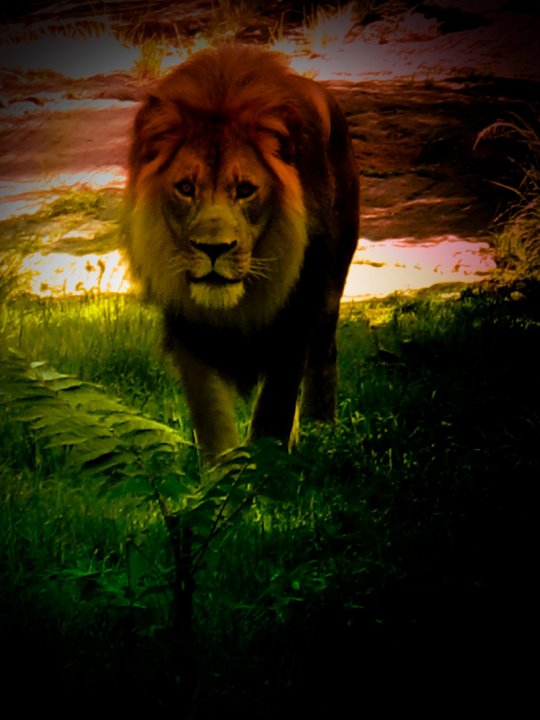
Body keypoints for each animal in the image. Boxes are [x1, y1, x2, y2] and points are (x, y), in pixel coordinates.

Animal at [123, 45, 359, 463]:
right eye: (185, 188)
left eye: (246, 190)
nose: (214, 249)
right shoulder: (189, 327)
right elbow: (212, 416)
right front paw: (222, 474)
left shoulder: (297, 313)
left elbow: (274, 408)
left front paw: (265, 471)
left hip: (332, 285)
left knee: (324, 354)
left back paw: (322, 430)